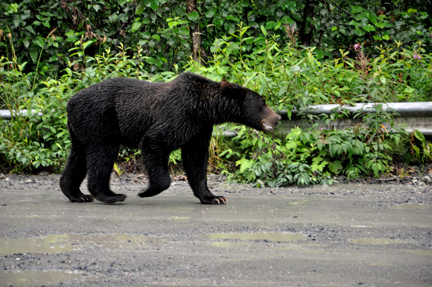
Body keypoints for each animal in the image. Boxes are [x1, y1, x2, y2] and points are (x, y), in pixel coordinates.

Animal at [60, 73, 282, 206]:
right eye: (263, 102)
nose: (278, 117)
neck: (204, 108)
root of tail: (70, 101)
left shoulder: (199, 128)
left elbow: (196, 160)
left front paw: (214, 197)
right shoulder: (179, 115)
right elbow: (154, 141)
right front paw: (146, 190)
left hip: (81, 128)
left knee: (78, 156)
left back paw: (76, 194)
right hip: (100, 119)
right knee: (103, 153)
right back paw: (110, 194)